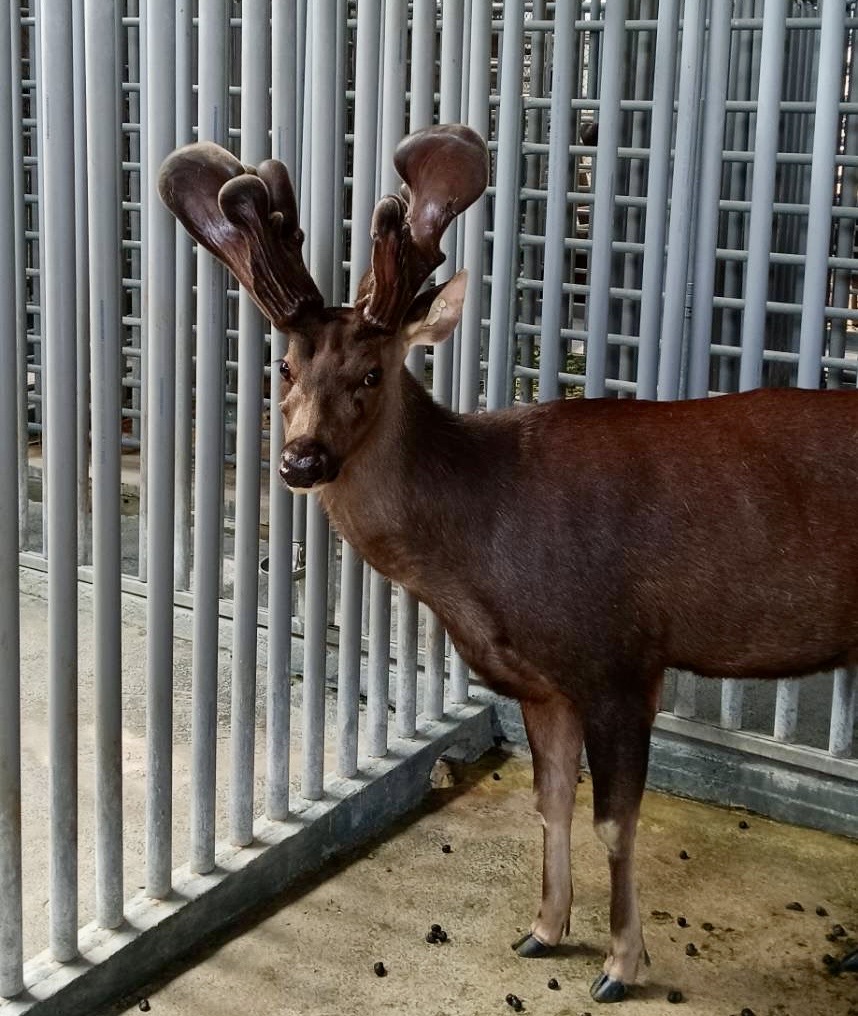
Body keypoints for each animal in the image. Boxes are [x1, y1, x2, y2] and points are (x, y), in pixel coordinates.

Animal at [159, 124, 858, 1003]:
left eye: (371, 372)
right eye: (283, 368)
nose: (301, 459)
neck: (484, 556)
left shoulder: (620, 654)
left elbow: (614, 821)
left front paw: (619, 965)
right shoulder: (543, 680)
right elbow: (549, 801)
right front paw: (543, 930)